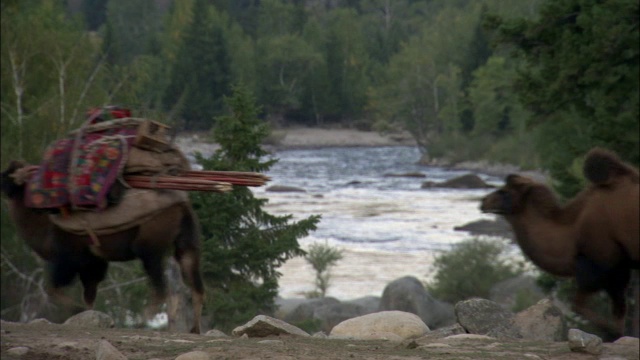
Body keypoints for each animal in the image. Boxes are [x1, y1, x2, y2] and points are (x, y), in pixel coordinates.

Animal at [0, 160, 205, 332]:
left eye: (8, 176)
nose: (2, 184)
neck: (44, 226)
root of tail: (182, 204)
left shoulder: (69, 259)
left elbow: (53, 288)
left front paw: (77, 310)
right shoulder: (93, 263)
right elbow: (89, 294)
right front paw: (88, 316)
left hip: (150, 247)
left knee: (162, 287)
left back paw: (141, 322)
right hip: (187, 242)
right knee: (194, 283)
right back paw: (194, 328)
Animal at [482, 147, 636, 338]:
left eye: (504, 192)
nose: (483, 202)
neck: (573, 231)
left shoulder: (600, 264)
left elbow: (579, 306)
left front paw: (609, 331)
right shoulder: (618, 270)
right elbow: (619, 311)